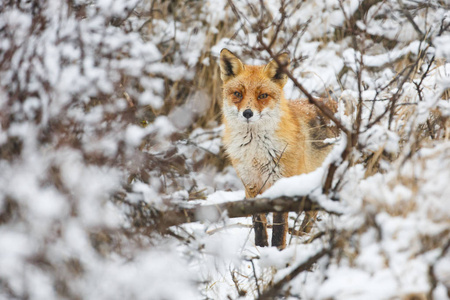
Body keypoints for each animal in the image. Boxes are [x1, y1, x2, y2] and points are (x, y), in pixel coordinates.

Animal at [218, 48, 338, 248]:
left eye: (263, 96)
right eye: (237, 94)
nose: (247, 113)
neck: (256, 153)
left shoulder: (281, 184)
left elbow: (279, 228)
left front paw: (277, 251)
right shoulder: (250, 185)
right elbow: (258, 223)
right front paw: (260, 248)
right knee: (312, 212)